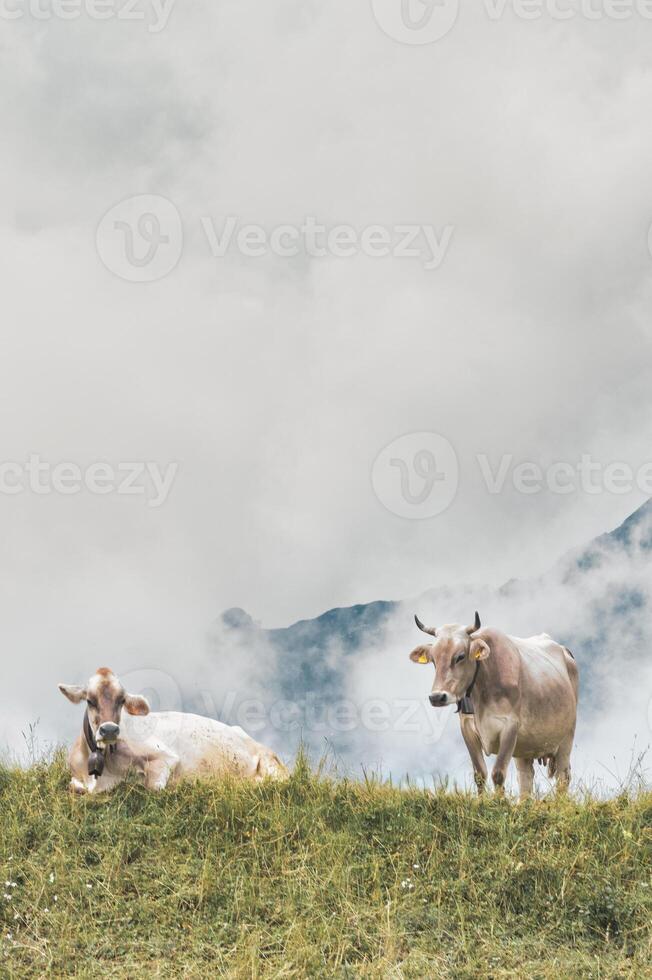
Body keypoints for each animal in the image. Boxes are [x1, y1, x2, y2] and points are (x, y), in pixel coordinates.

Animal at [58, 668, 288, 796]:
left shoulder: (165, 756)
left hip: (271, 764)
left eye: (122, 700)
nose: (109, 730)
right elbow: (73, 786)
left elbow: (152, 786)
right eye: (90, 700)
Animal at [410, 616, 580, 800]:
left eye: (460, 656)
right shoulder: (467, 729)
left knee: (563, 775)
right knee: (526, 776)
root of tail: (564, 650)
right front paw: (482, 801)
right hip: (525, 744)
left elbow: (498, 773)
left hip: (567, 736)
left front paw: (499, 802)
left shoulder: (510, 726)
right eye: (433, 659)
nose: (437, 697)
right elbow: (479, 774)